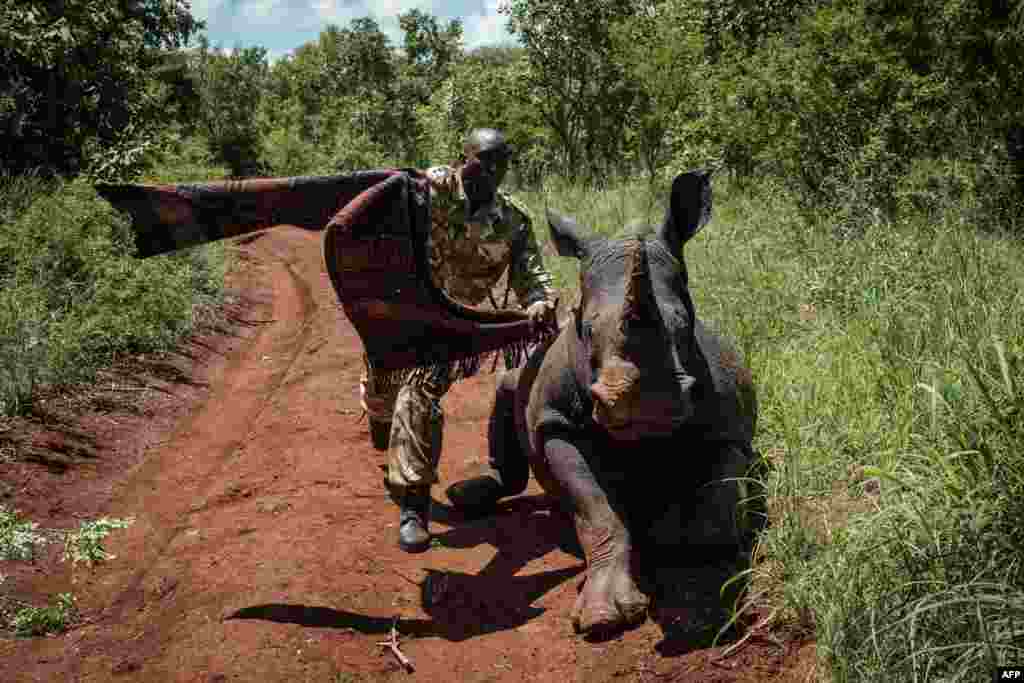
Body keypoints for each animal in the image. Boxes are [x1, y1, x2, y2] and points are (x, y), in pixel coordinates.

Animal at [448, 169, 761, 634]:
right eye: (588, 330)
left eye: (683, 324)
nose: (647, 407)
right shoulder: (556, 424)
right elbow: (597, 508)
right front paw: (605, 616)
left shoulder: (727, 426)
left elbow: (715, 511)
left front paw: (692, 579)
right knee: (505, 387)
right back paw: (468, 495)